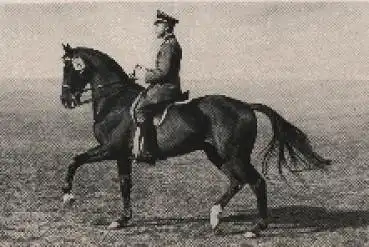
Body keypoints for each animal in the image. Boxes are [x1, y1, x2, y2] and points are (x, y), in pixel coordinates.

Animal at [59, 43, 330, 236]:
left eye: (69, 68)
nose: (65, 100)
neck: (115, 101)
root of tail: (245, 106)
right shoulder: (121, 155)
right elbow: (125, 184)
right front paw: (122, 220)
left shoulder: (109, 149)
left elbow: (75, 160)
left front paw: (68, 196)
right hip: (217, 155)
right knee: (237, 182)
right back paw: (215, 217)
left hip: (234, 156)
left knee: (256, 182)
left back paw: (256, 229)